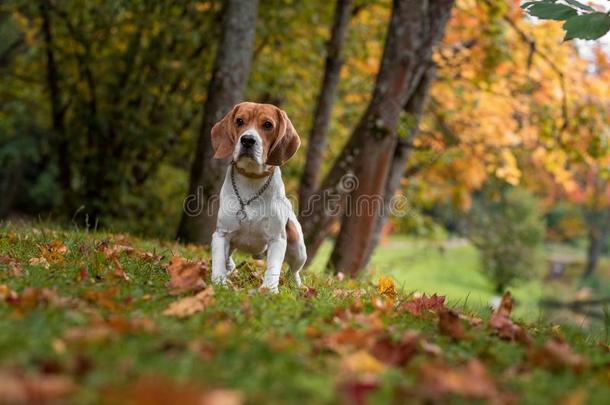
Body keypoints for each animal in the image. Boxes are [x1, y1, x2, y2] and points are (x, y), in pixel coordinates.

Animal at [210, 100, 304, 290]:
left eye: (268, 125)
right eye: (239, 121)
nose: (247, 140)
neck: (252, 180)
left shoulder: (277, 239)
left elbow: (273, 268)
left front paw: (268, 290)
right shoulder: (221, 234)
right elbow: (218, 261)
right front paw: (219, 284)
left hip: (298, 246)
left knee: (294, 271)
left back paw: (297, 286)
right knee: (228, 259)